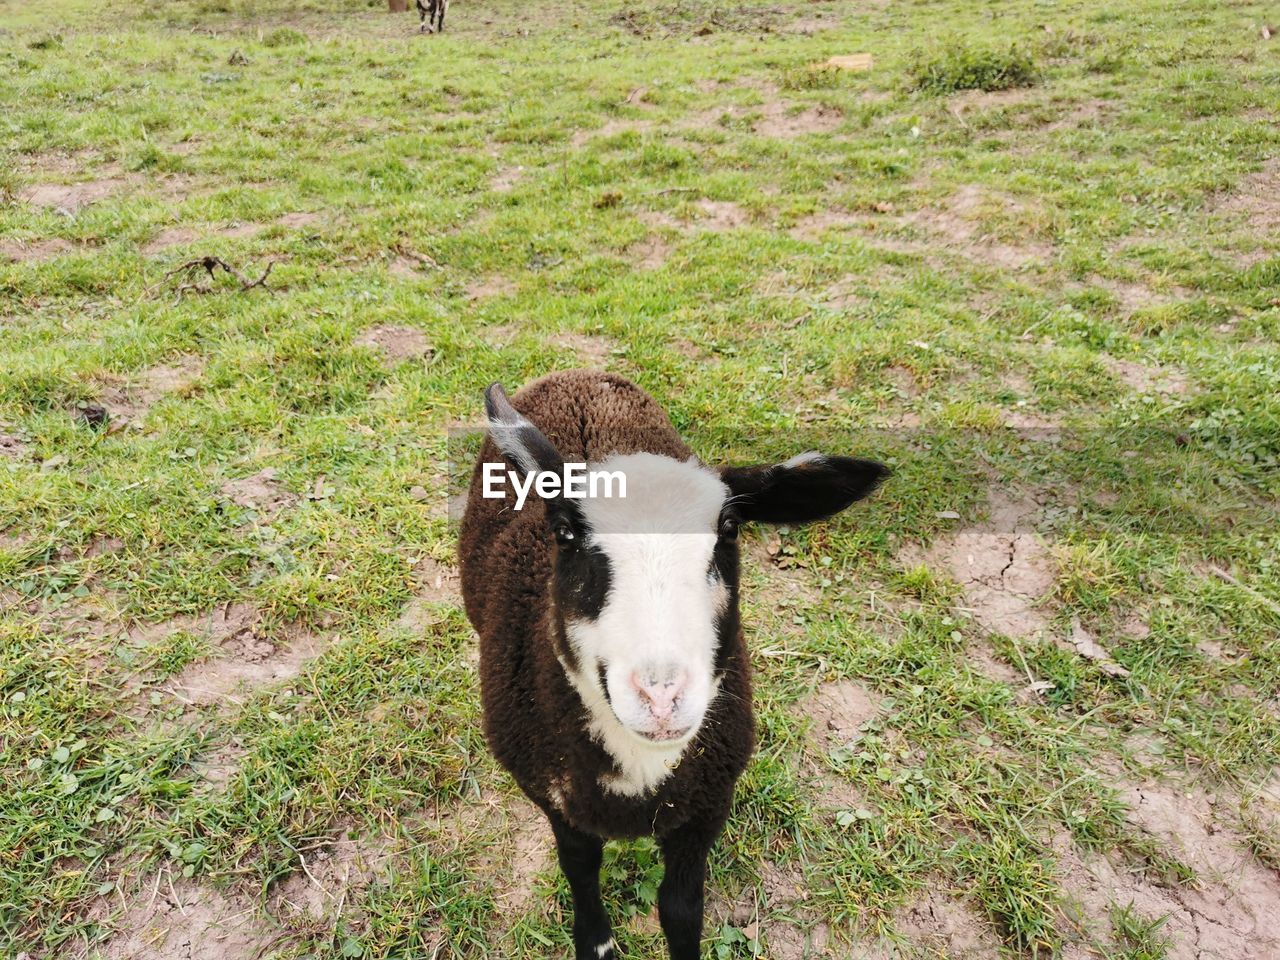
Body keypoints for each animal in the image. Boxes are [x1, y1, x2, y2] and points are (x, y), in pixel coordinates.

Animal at [460, 371, 890, 957]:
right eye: (566, 532)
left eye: (730, 528)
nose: (662, 697)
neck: (640, 766)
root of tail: (574, 374)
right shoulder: (557, 802)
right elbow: (581, 870)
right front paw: (595, 941)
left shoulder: (706, 805)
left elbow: (681, 909)